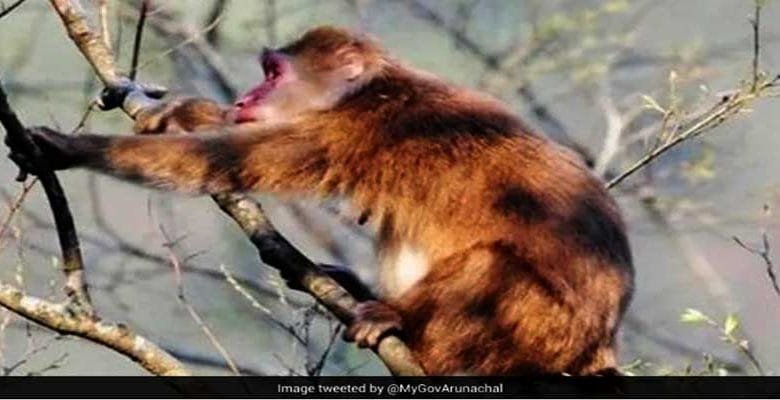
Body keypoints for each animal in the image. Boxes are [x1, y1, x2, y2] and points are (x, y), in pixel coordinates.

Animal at [8, 26, 634, 375]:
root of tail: (598, 348)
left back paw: (401, 321)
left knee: (494, 264)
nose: (246, 96)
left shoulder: (350, 129)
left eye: (273, 73)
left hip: (538, 331)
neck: (368, 89)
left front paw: (71, 147)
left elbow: (227, 161)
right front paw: (178, 110)